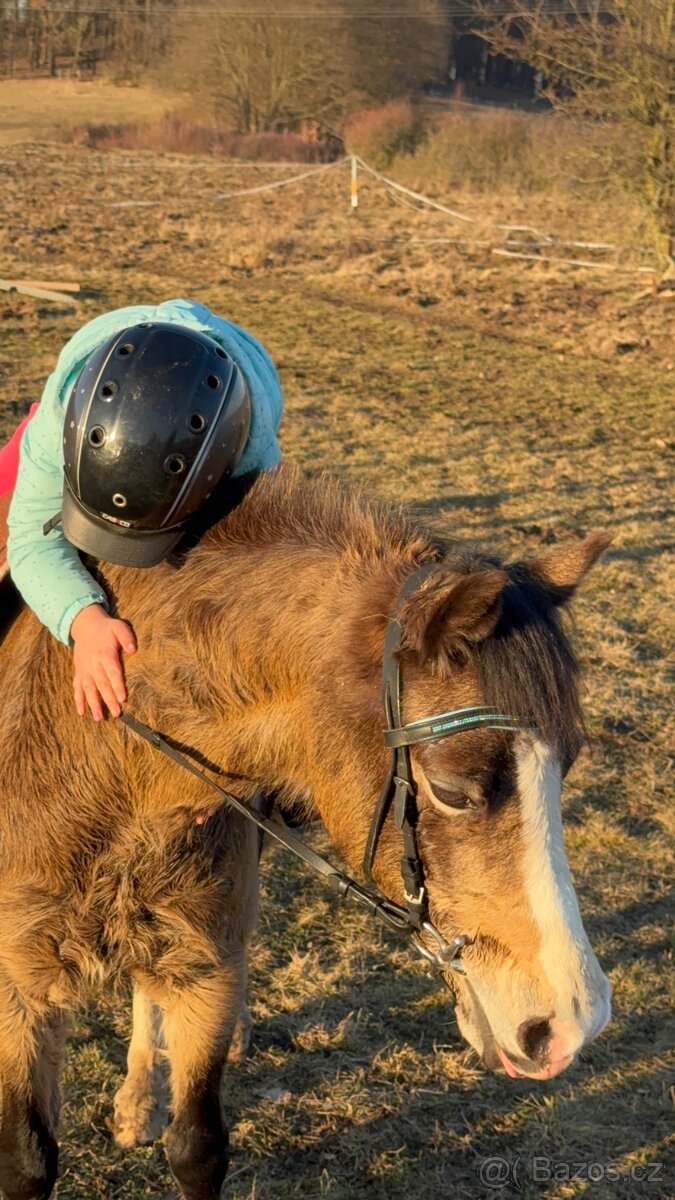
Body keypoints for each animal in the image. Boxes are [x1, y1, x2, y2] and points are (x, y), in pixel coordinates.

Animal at [0, 466, 612, 1200]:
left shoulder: (206, 970)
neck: (105, 777)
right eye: (453, 790)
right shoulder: (17, 995)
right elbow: (27, 1157)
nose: (571, 1023)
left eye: (567, 765)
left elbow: (196, 1145)